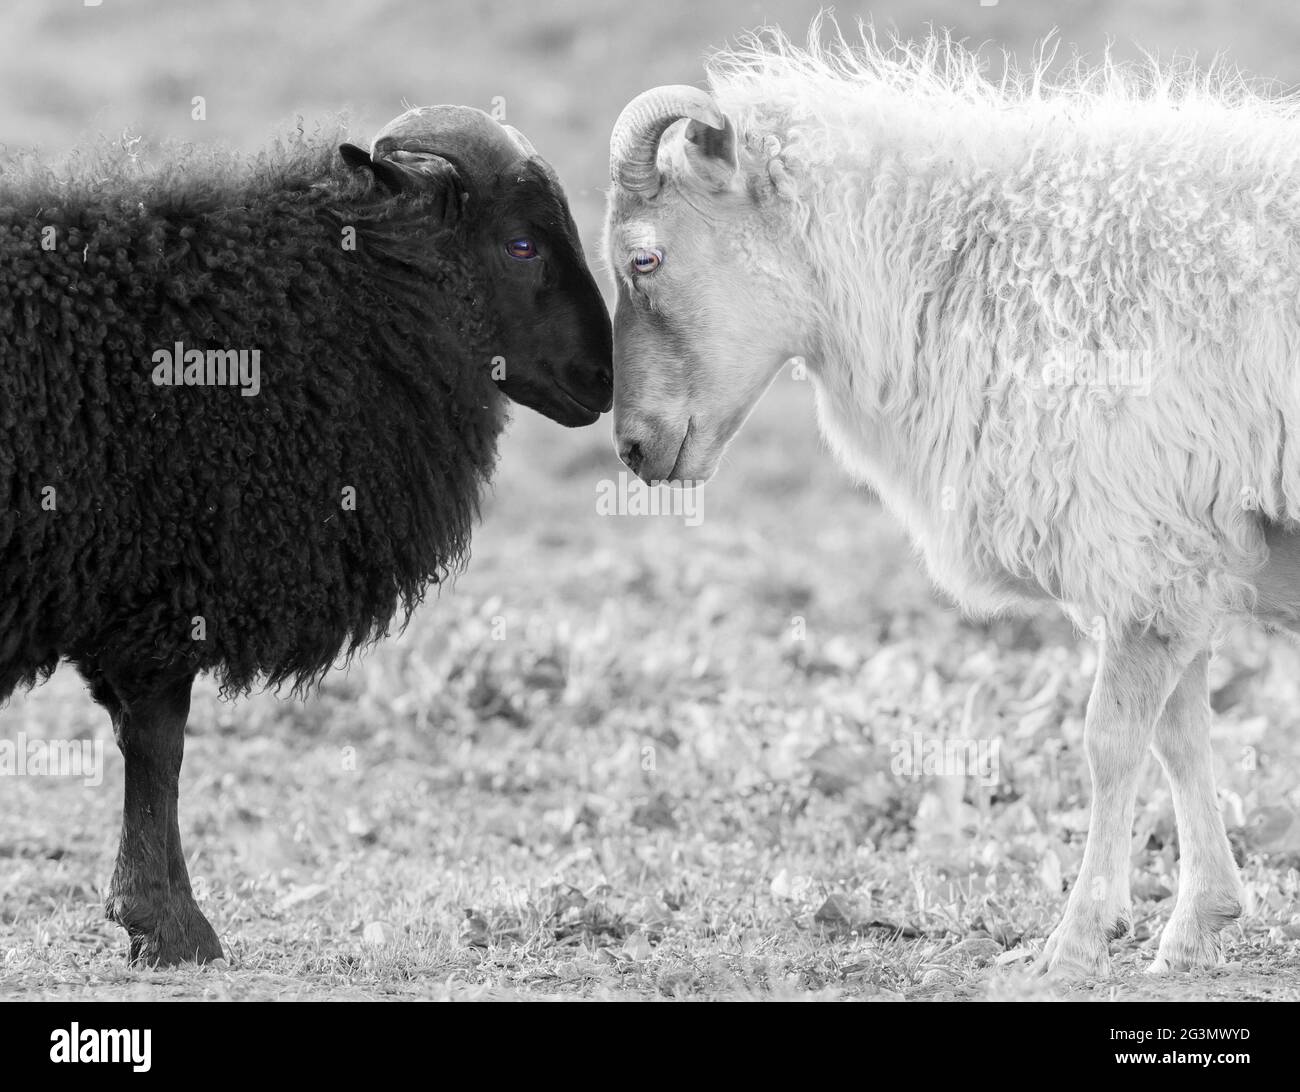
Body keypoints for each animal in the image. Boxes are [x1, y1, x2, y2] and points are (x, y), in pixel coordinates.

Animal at [603, 27, 1300, 978]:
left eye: (645, 258)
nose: (632, 449)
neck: (975, 260)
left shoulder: (1141, 548)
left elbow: (1110, 741)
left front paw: (1075, 943)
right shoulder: (1172, 550)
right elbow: (1179, 736)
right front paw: (1199, 921)